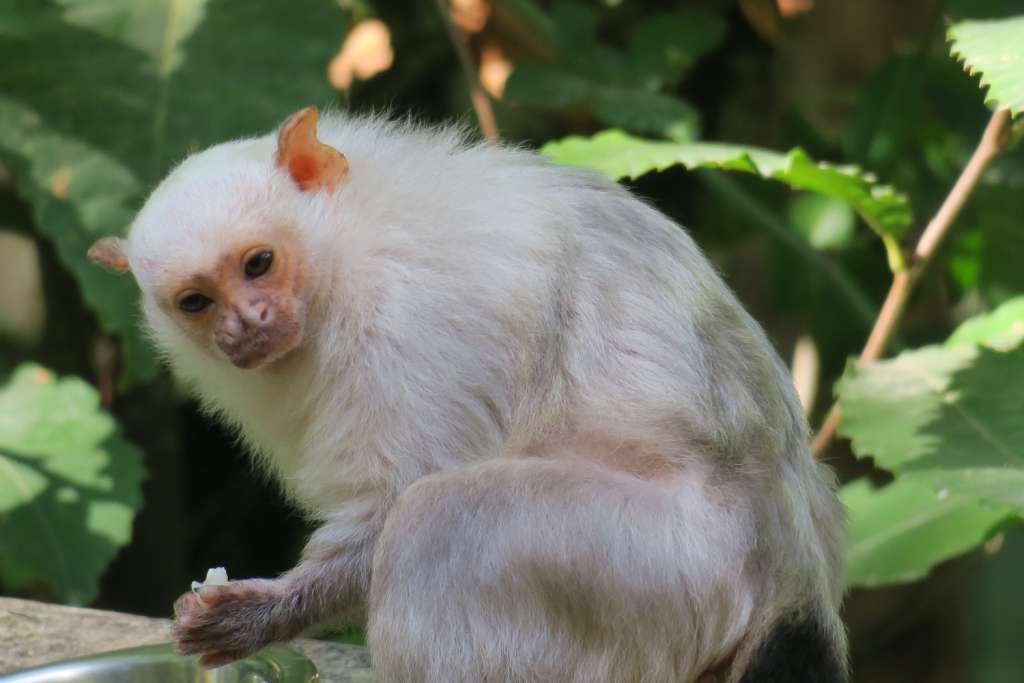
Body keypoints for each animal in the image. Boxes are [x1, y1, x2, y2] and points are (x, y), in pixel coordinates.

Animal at [88, 108, 843, 683]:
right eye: (196, 301)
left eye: (258, 263)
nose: (245, 326)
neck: (341, 257)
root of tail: (791, 567)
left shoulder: (409, 326)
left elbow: (400, 496)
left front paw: (260, 614)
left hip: (667, 567)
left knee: (441, 519)